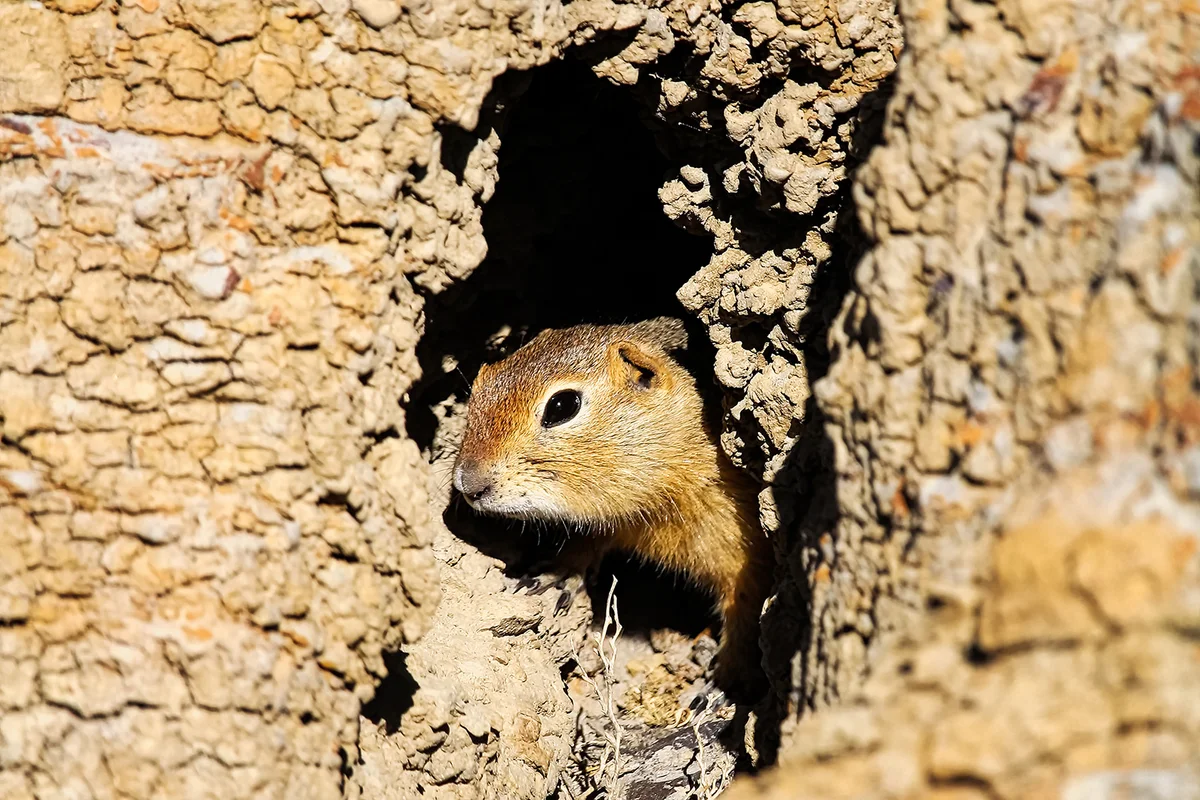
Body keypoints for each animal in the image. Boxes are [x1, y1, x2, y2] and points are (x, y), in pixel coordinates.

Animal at [452, 317, 772, 700]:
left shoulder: (748, 559)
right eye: (478, 386)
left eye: (562, 406)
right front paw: (558, 574)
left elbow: (746, 613)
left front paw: (727, 681)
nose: (467, 484)